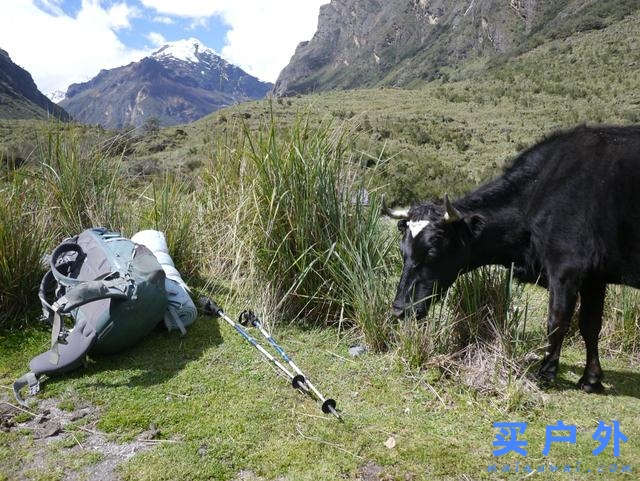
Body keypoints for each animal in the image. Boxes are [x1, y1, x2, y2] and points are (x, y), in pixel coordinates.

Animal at [388, 124, 640, 394]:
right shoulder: (594, 278)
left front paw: (545, 373)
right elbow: (590, 325)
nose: (400, 309)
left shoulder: (566, 269)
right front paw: (591, 379)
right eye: (403, 250)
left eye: (432, 251)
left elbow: (557, 320)